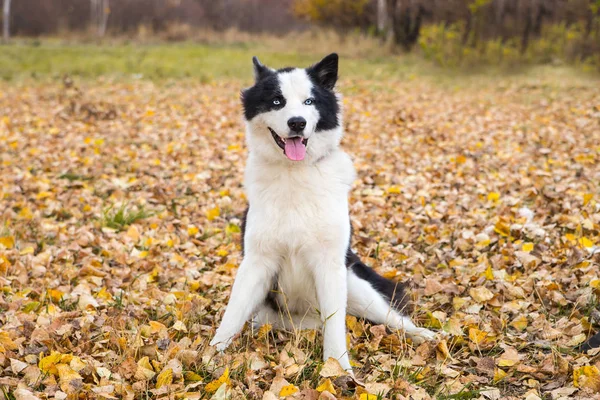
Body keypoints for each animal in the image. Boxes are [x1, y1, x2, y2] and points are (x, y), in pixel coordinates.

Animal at [209, 53, 434, 372]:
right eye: (276, 101)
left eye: (309, 101)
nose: (297, 122)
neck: (295, 172)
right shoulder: (257, 262)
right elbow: (232, 313)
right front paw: (210, 356)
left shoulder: (330, 264)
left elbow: (336, 324)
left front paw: (338, 368)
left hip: (356, 284)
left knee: (393, 317)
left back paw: (424, 335)